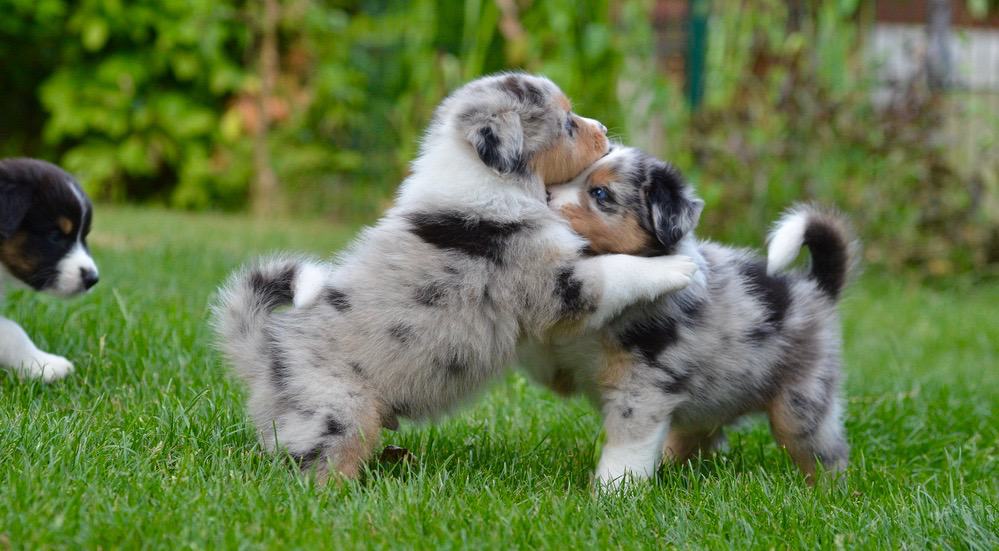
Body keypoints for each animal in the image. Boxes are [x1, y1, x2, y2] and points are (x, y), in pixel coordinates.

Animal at [217, 74, 704, 484]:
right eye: (567, 123)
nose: (603, 128)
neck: (483, 175)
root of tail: (264, 352)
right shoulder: (557, 284)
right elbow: (616, 270)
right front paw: (679, 267)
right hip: (337, 410)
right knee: (320, 466)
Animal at [524, 147, 860, 488]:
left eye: (600, 193)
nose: (543, 193)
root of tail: (816, 286)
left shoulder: (642, 390)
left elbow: (626, 452)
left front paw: (613, 492)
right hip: (708, 406)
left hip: (801, 404)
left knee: (824, 454)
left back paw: (828, 491)